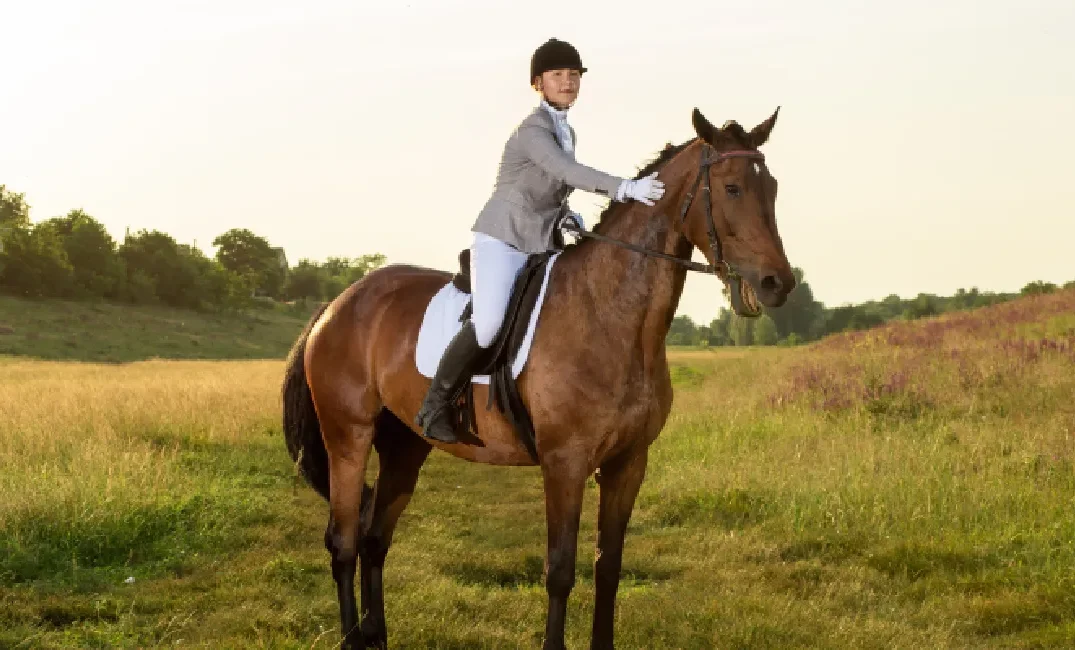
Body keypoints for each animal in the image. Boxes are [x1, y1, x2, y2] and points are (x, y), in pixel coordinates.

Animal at [282, 106, 796, 649]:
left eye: (772, 188)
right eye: (732, 187)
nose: (778, 284)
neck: (610, 314)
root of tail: (339, 303)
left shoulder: (628, 463)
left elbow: (608, 567)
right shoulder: (564, 463)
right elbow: (561, 570)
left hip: (405, 445)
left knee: (374, 538)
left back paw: (376, 636)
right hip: (348, 437)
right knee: (343, 540)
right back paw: (351, 637)